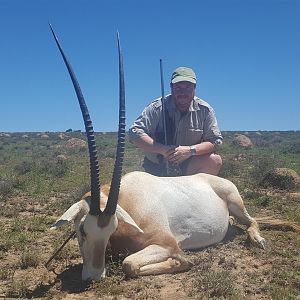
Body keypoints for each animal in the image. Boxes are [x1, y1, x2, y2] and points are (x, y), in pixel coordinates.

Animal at [49, 25, 298, 282]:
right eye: (81, 230)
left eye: (111, 228)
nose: (95, 276)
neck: (127, 199)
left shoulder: (165, 243)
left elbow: (130, 264)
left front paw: (184, 261)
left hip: (236, 203)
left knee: (252, 220)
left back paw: (258, 239)